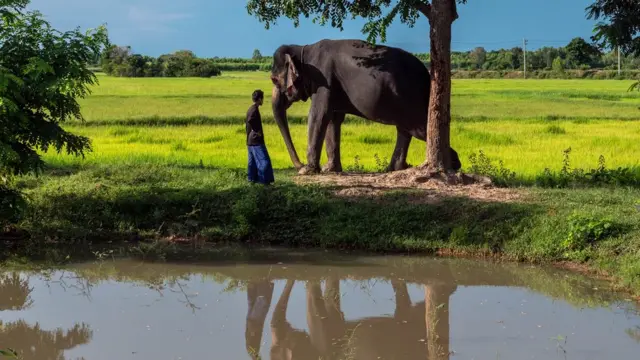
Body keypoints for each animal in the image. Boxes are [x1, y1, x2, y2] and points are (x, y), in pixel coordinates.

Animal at [268, 39, 460, 174]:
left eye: (274, 80)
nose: (299, 165)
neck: (303, 49)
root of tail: (428, 75)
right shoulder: (332, 86)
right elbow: (333, 119)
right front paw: (329, 169)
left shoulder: (324, 80)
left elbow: (318, 115)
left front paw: (308, 171)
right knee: (404, 130)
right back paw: (394, 169)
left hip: (412, 100)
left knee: (419, 128)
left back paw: (454, 164)